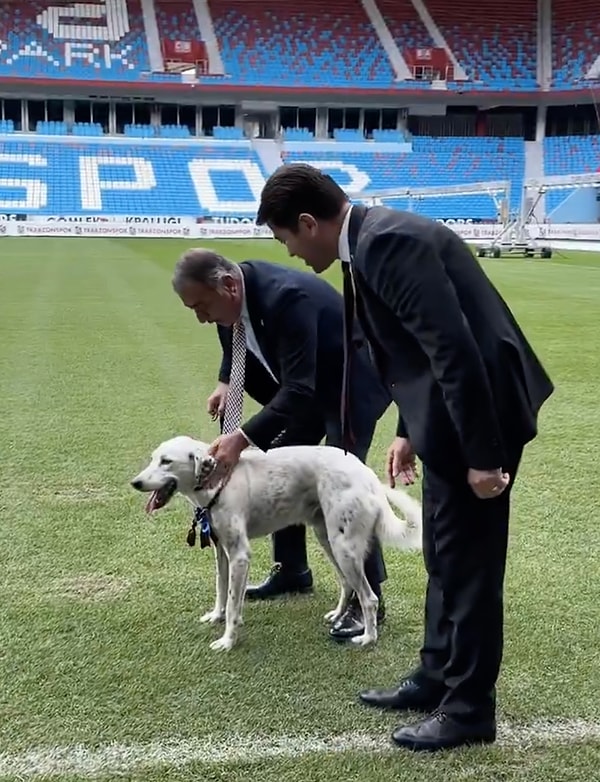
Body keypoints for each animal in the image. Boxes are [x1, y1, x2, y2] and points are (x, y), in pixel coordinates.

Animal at [131, 438, 422, 652]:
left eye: (166, 461)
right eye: (153, 458)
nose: (135, 482)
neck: (221, 480)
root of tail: (367, 473)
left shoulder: (240, 555)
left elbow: (233, 602)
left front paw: (227, 640)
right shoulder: (222, 552)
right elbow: (222, 591)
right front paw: (216, 616)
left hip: (344, 548)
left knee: (369, 598)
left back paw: (368, 638)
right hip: (329, 539)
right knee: (347, 584)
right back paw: (337, 615)